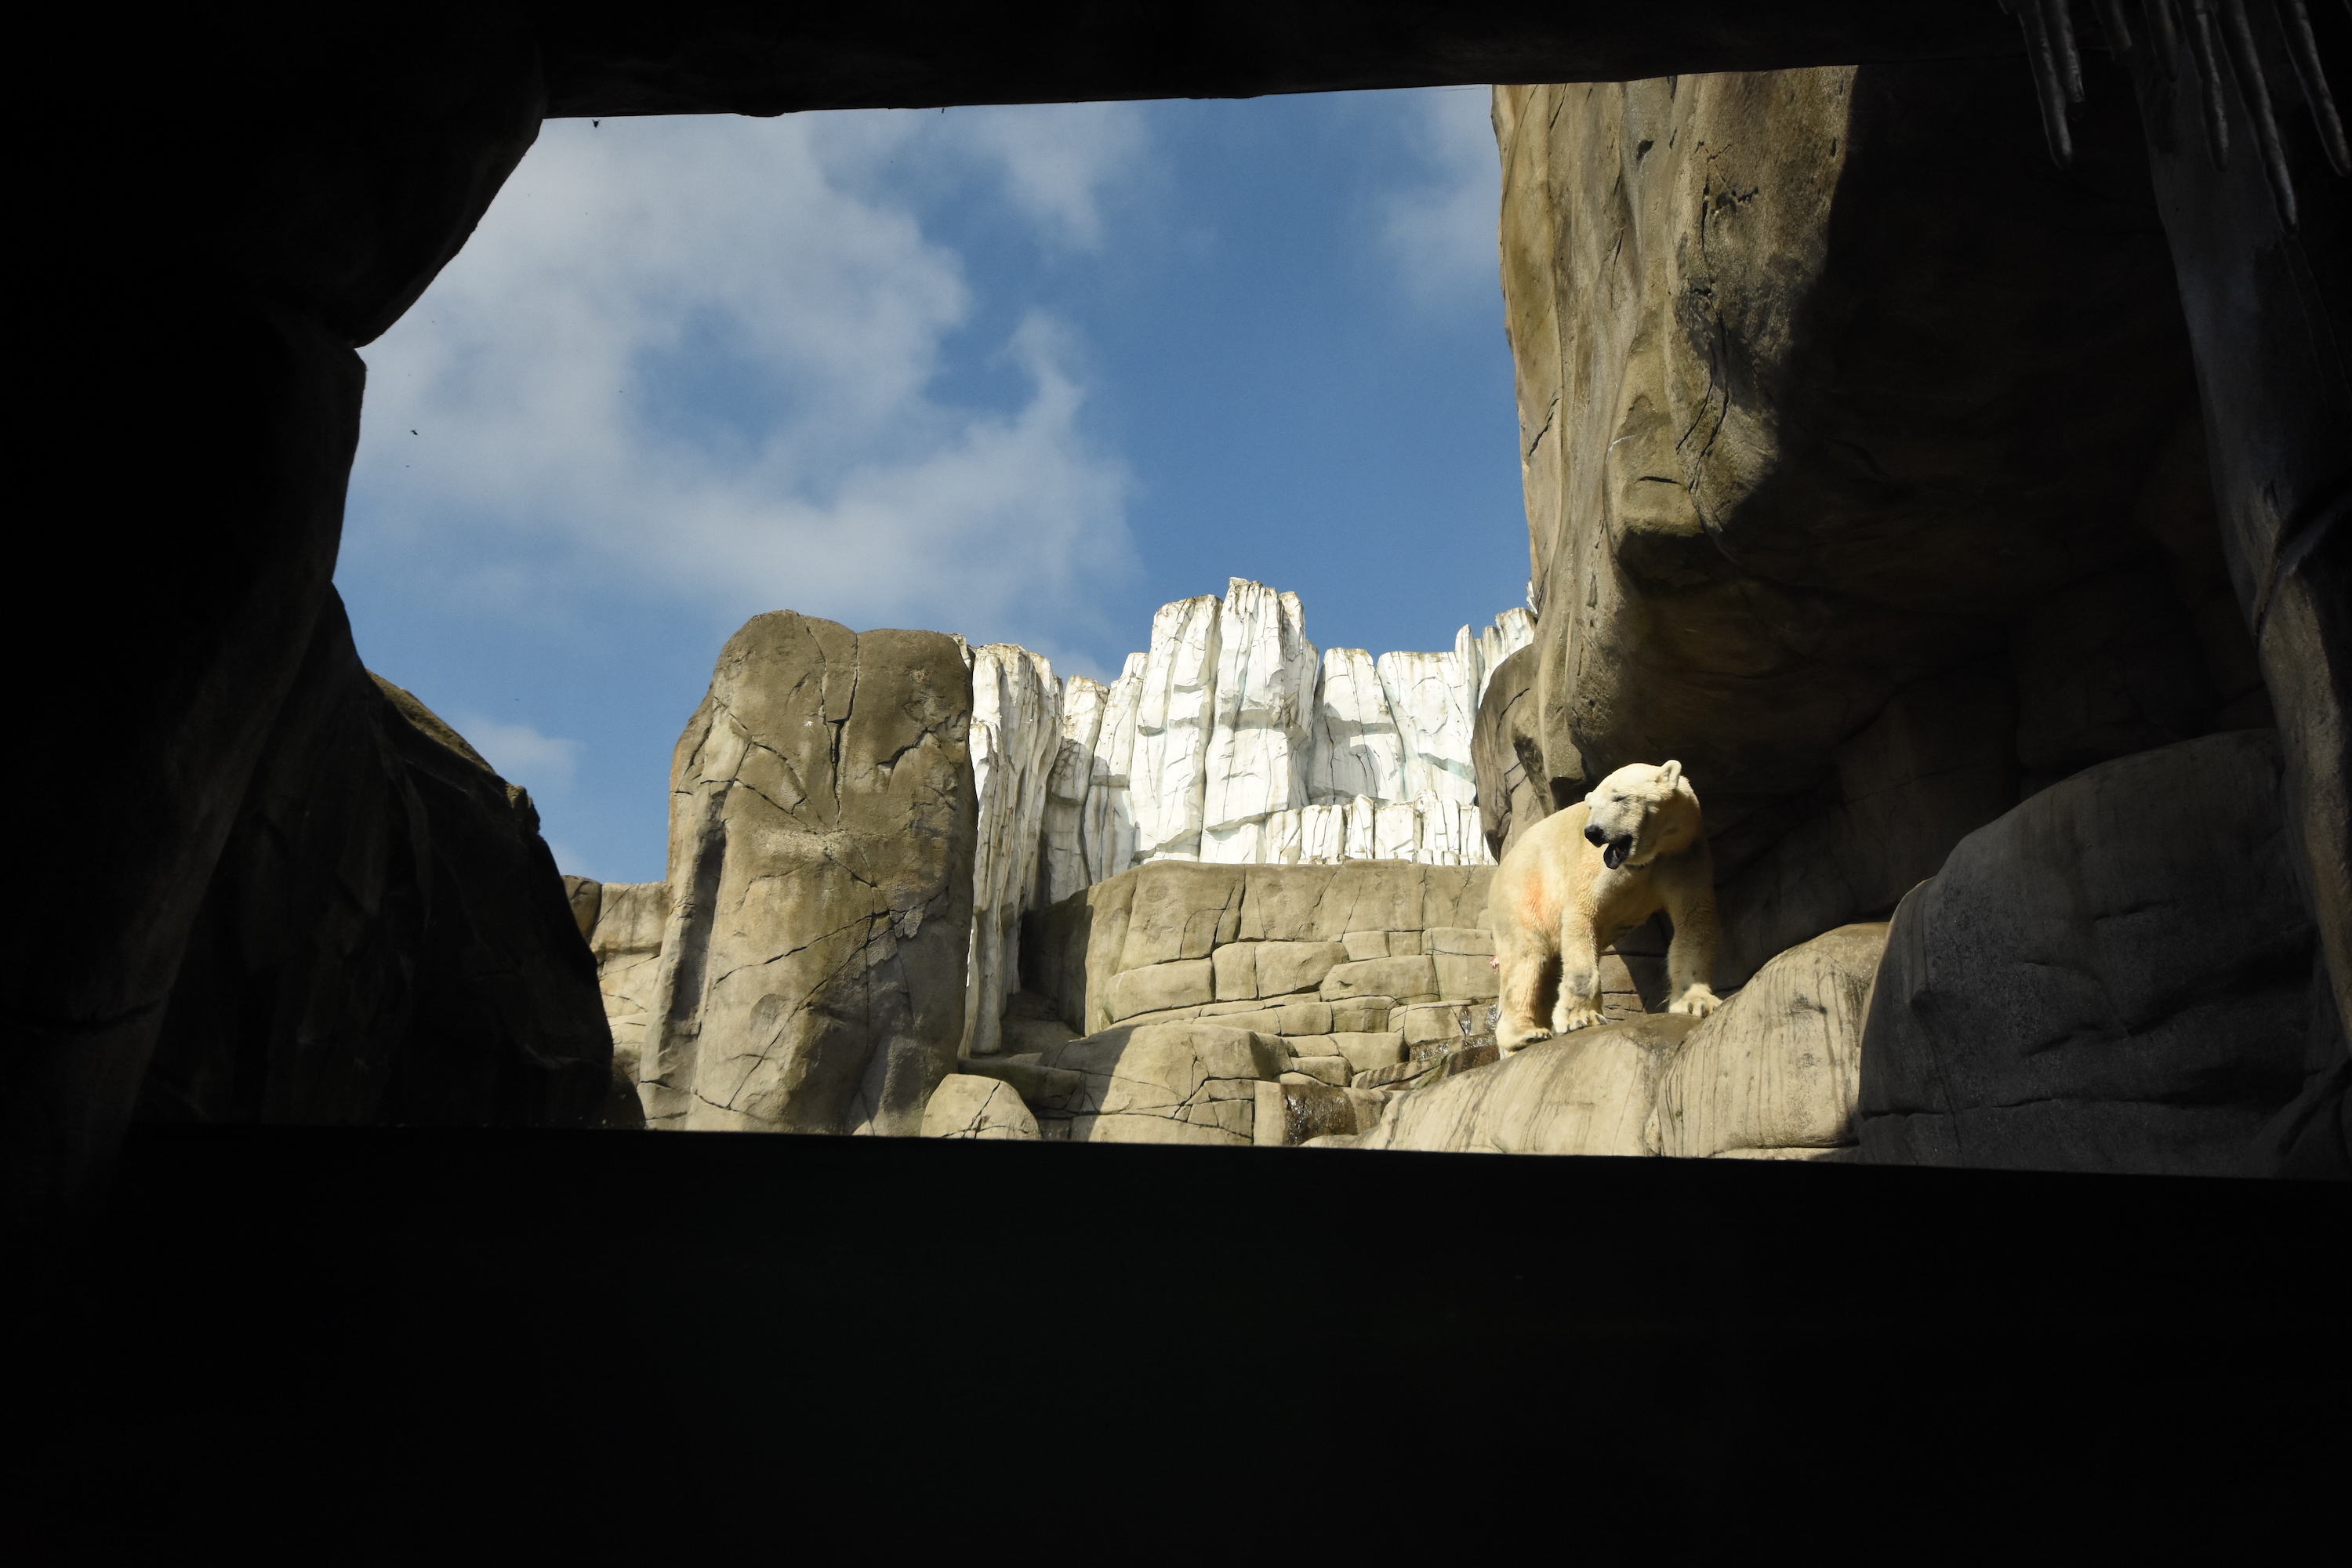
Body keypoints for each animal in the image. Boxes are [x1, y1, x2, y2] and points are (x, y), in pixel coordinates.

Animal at [1487, 759, 1721, 1051]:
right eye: (1590, 805)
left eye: (1620, 797)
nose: (1593, 832)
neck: (1647, 855)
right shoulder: (1595, 867)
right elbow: (1582, 916)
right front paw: (1580, 1017)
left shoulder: (1683, 853)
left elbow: (1693, 919)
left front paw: (1696, 1002)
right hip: (1524, 890)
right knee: (1527, 956)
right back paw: (1525, 1034)